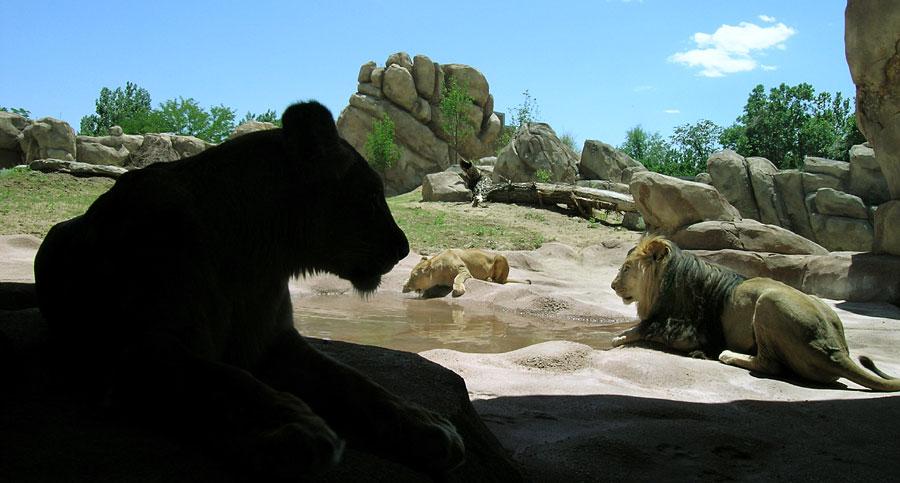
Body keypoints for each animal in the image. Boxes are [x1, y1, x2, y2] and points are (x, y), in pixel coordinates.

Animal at [33, 100, 464, 478]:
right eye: (373, 196)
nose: (404, 248)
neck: (257, 258)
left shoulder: (276, 340)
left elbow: (357, 383)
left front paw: (428, 426)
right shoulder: (141, 349)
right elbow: (227, 380)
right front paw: (296, 430)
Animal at [400, 251, 528, 296]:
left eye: (414, 276)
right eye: (410, 275)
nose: (408, 286)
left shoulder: (464, 270)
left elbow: (457, 278)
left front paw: (458, 290)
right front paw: (405, 285)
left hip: (500, 256)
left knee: (501, 281)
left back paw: (489, 279)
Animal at [612, 236, 900, 392]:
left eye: (626, 268)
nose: (613, 285)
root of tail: (835, 349)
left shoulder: (686, 333)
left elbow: (642, 329)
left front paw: (619, 336)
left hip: (768, 302)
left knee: (770, 364)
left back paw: (728, 355)